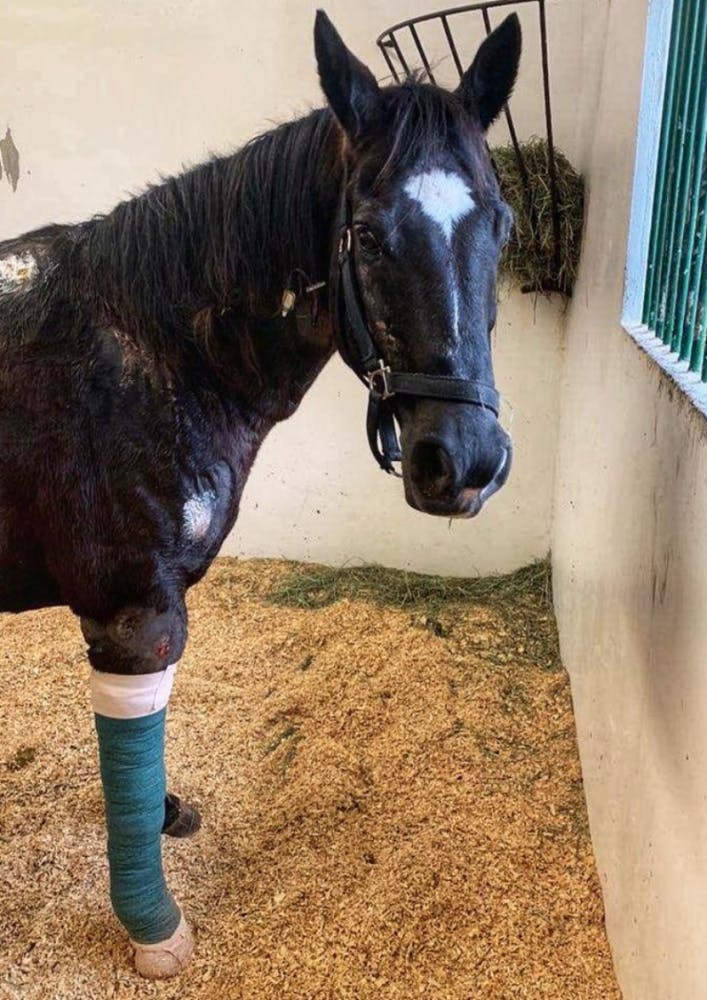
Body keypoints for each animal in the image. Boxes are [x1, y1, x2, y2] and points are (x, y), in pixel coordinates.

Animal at [0, 9, 520, 978]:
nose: (463, 460)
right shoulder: (133, 614)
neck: (149, 350)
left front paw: (158, 812)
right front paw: (151, 924)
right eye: (367, 236)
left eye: (500, 225)